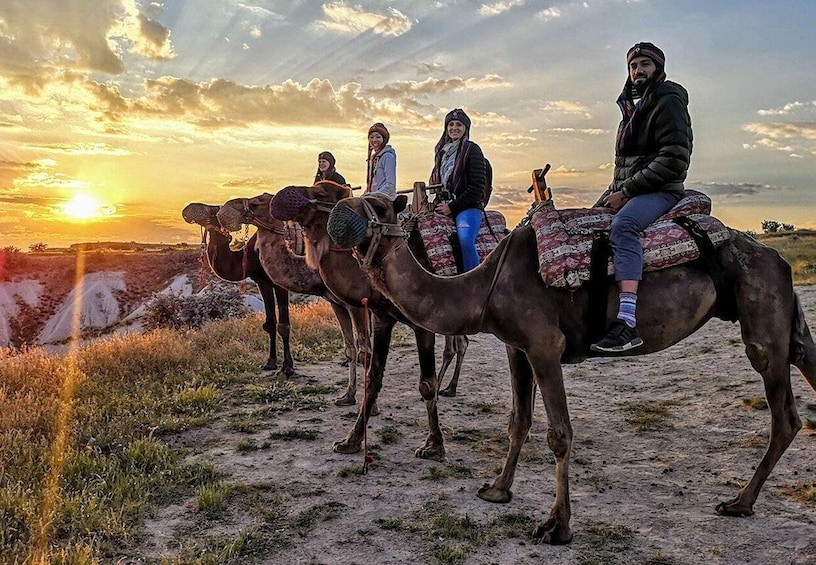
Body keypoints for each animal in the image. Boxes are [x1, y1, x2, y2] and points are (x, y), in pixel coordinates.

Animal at [182, 203, 294, 374]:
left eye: (214, 209)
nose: (188, 208)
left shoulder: (281, 283)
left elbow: (284, 325)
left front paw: (288, 366)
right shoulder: (263, 282)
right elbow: (270, 323)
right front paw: (270, 362)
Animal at [210, 198, 366, 406]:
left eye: (257, 202)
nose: (224, 210)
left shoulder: (359, 304)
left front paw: (287, 367)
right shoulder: (336, 302)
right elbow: (352, 348)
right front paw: (348, 396)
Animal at [326, 192, 816, 544]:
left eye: (380, 205)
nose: (339, 213)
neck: (485, 286)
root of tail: (778, 259)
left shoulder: (545, 346)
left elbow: (559, 434)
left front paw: (556, 526)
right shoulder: (516, 347)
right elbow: (518, 421)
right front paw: (498, 489)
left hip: (762, 316)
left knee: (784, 414)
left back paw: (739, 502)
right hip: (779, 316)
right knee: (804, 365)